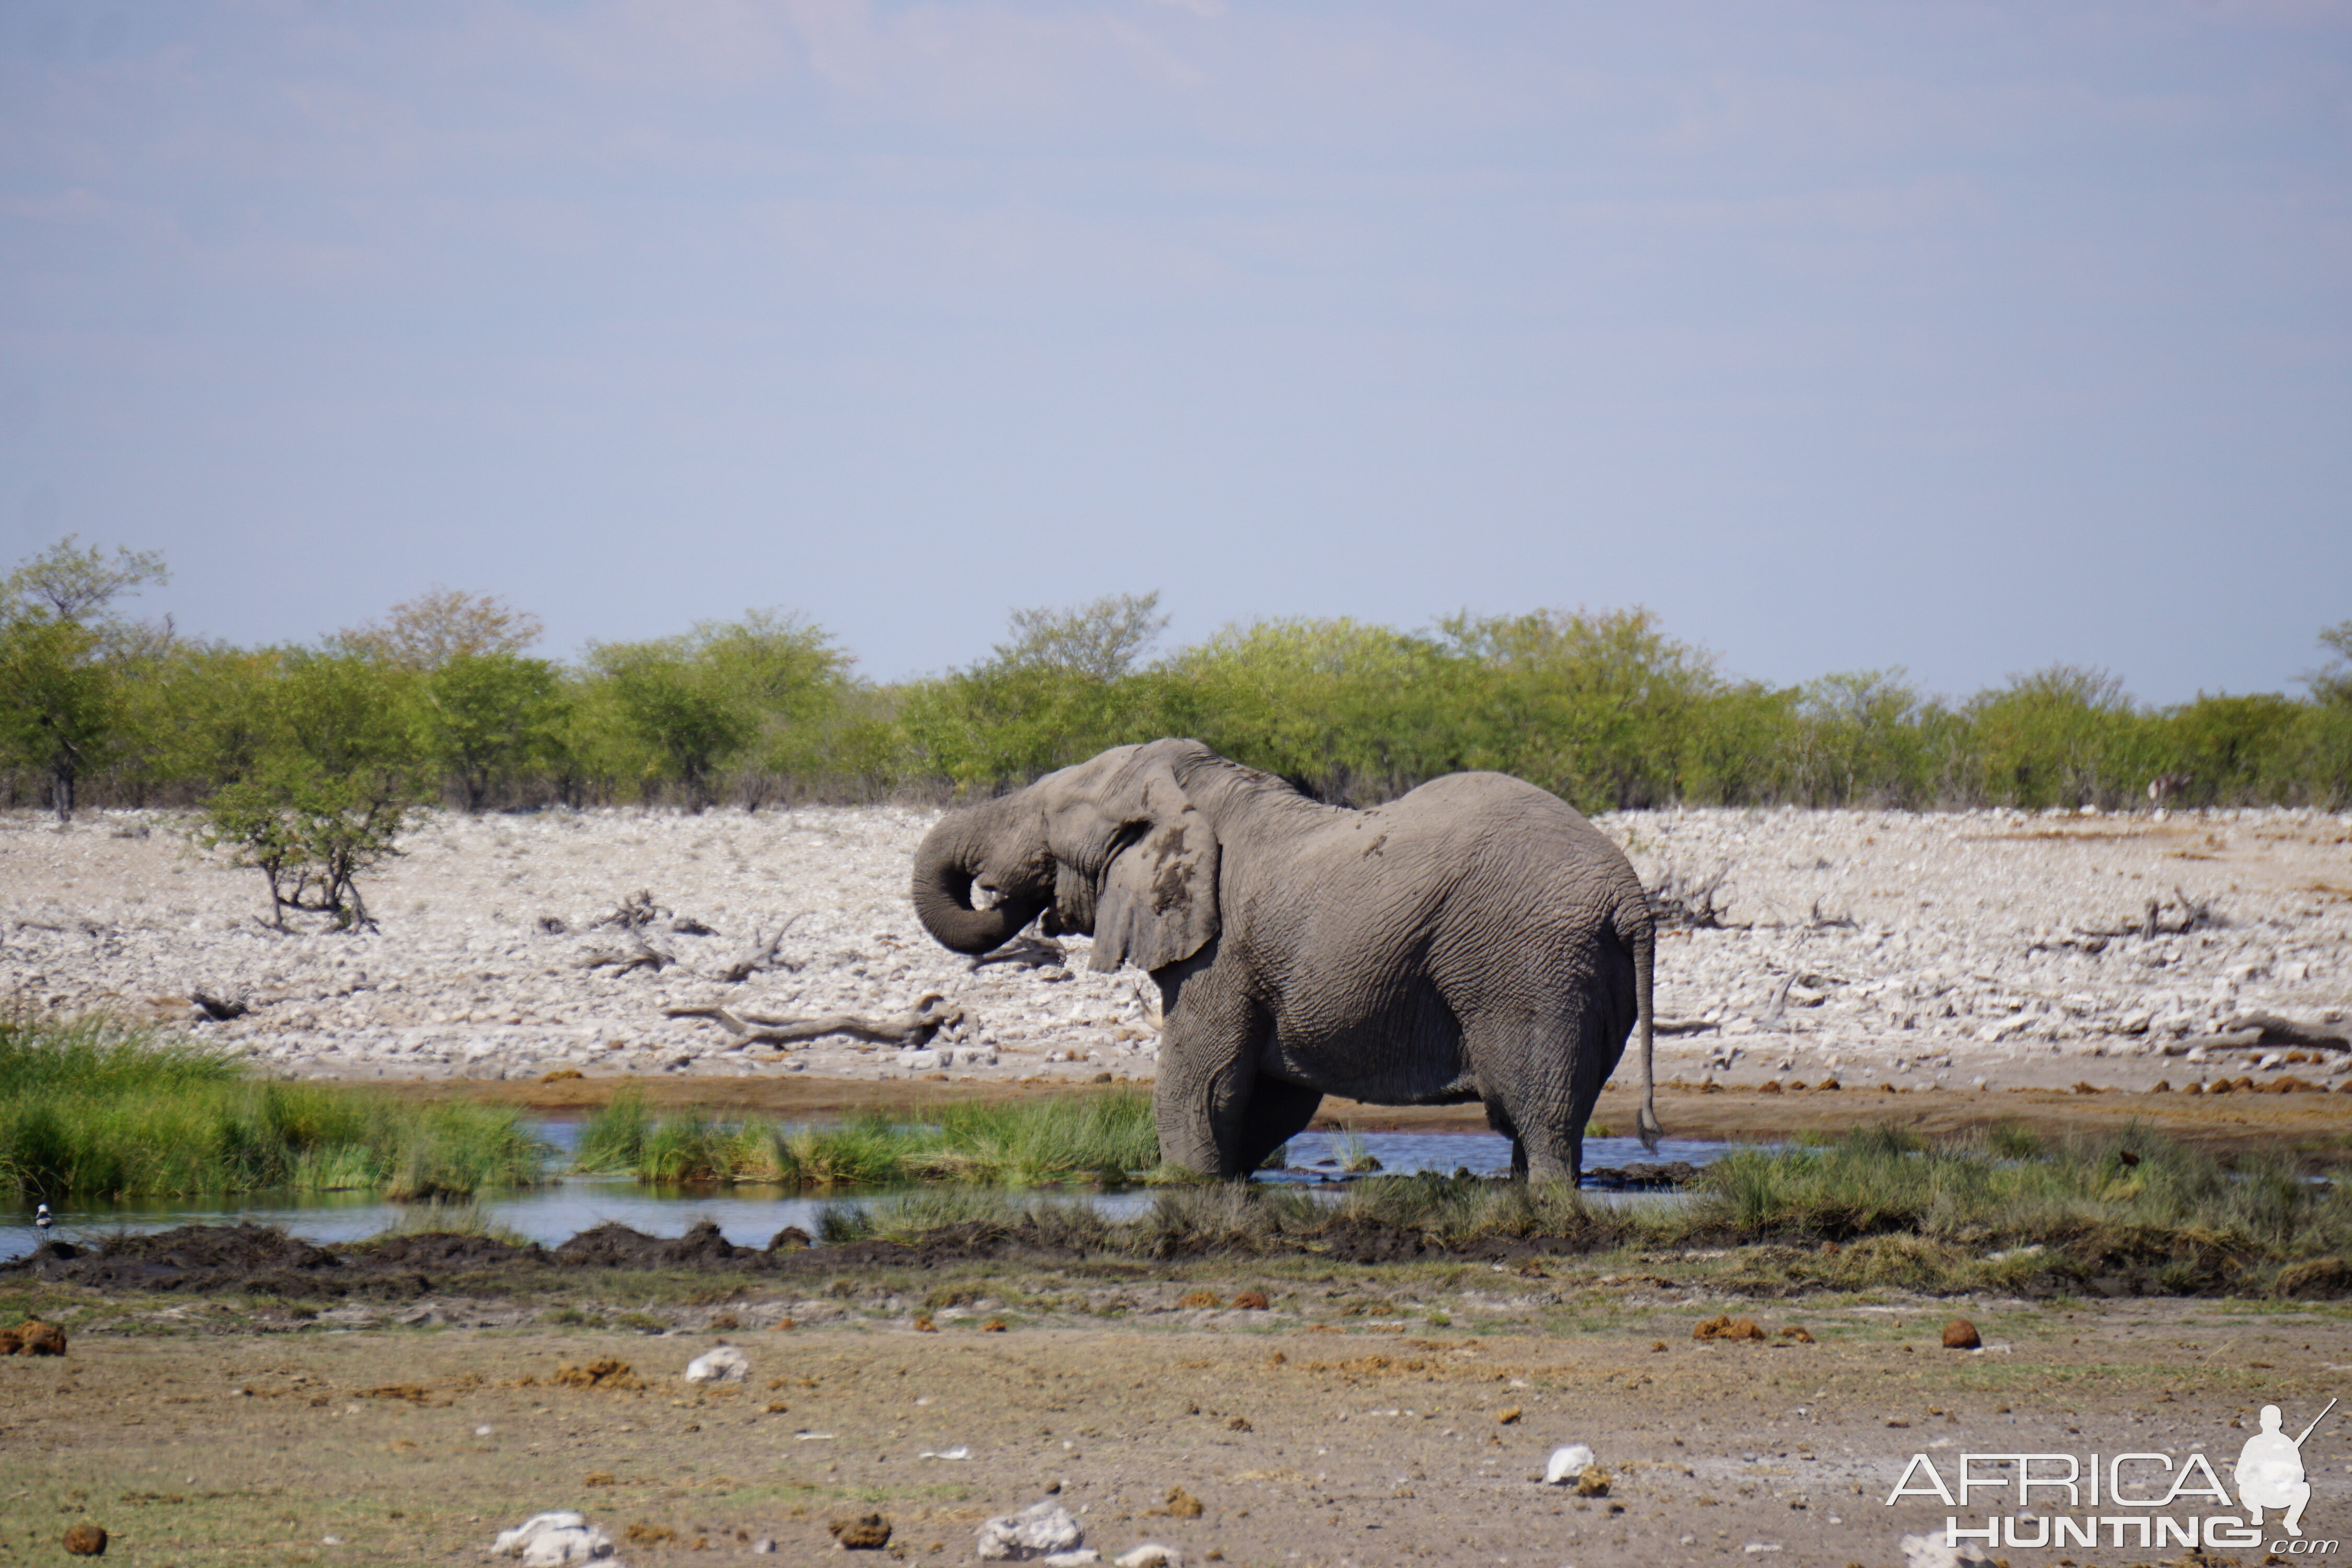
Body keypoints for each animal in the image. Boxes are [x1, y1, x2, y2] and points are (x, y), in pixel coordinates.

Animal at [908, 743, 1665, 1184]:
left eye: (1048, 815)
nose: (998, 890)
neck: (1197, 791)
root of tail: (1629, 894)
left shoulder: (1220, 956)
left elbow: (1197, 1087)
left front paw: (1188, 1191)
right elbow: (1268, 1097)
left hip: (1530, 967)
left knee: (1539, 1117)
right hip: (1586, 973)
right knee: (1549, 1117)